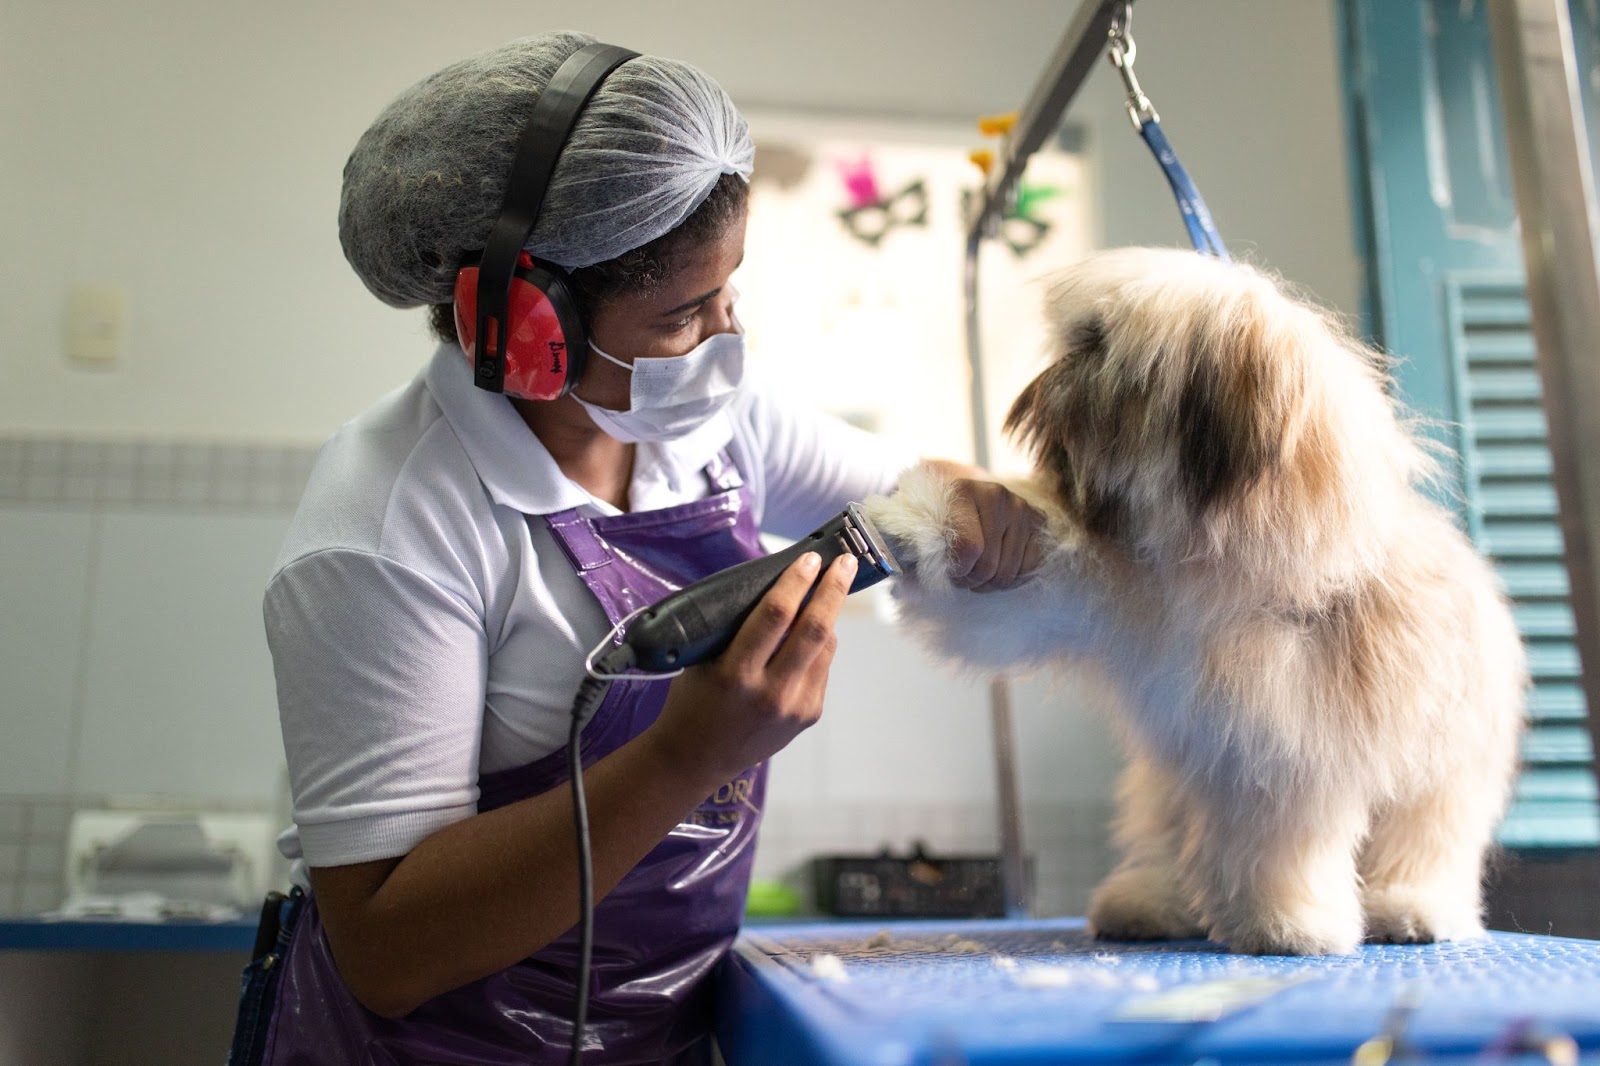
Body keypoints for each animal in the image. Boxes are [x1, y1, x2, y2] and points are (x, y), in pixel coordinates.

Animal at [870, 249, 1529, 953]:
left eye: (1096, 344)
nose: (1036, 392)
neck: (1214, 575)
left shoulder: (1287, 752)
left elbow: (1275, 847)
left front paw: (1284, 923)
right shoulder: (1101, 594)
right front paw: (923, 520)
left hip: (1441, 770)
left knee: (1424, 842)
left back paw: (1410, 908)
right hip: (1167, 784)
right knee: (1171, 841)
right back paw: (1151, 903)